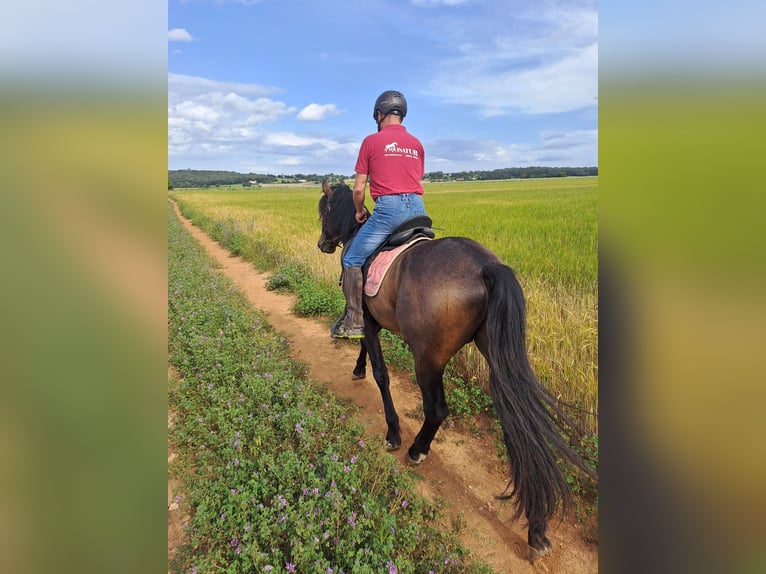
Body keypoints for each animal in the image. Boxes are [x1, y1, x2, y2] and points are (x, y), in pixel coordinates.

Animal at [317, 180, 595, 561]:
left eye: (324, 211)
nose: (322, 244)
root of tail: (485, 268)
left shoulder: (371, 322)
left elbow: (382, 375)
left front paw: (392, 432)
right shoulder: (373, 321)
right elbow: (366, 352)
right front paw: (358, 368)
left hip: (428, 358)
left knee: (437, 409)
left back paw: (416, 449)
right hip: (496, 354)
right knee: (517, 419)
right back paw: (536, 527)